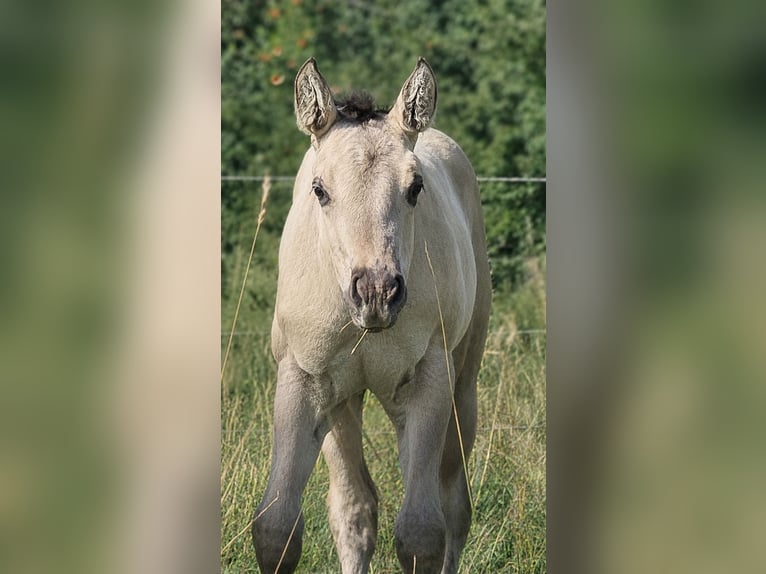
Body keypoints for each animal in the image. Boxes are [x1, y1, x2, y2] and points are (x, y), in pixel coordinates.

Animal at [252, 57, 491, 574]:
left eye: (415, 187)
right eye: (319, 190)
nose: (376, 291)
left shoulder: (429, 382)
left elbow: (422, 533)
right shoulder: (302, 378)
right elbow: (277, 528)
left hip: (462, 389)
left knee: (454, 507)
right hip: (343, 402)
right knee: (355, 507)